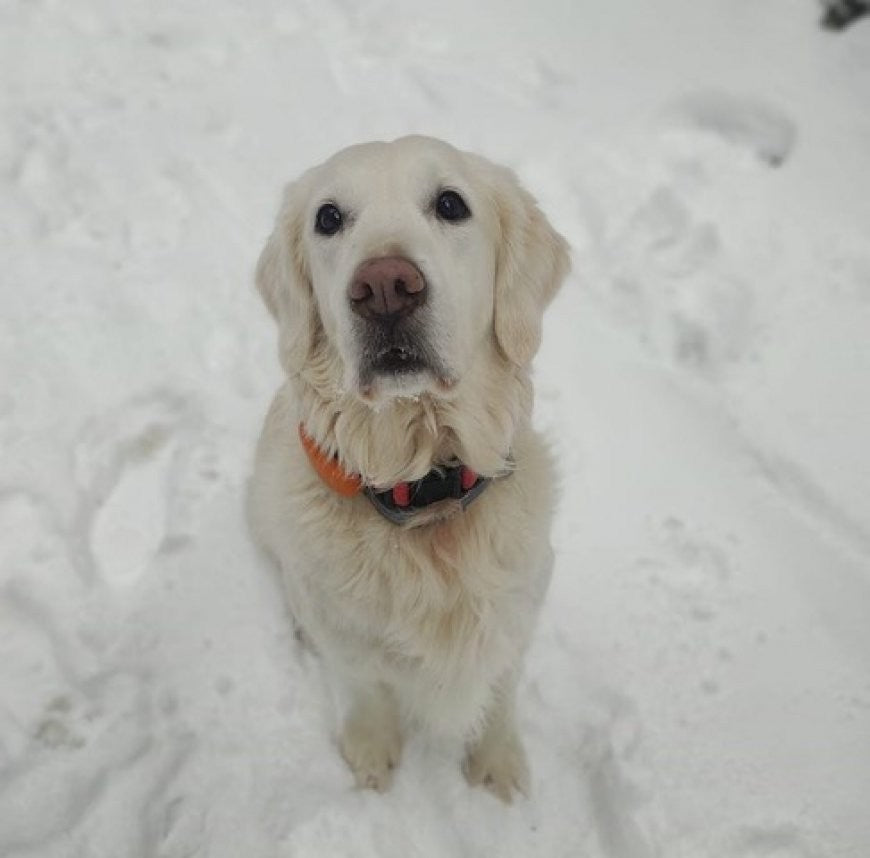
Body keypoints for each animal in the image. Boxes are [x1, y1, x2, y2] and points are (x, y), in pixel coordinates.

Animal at [247, 135, 572, 804]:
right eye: (328, 218)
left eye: (451, 204)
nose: (385, 287)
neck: (422, 484)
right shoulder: (344, 631)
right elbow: (363, 684)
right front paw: (371, 753)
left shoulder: (523, 600)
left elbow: (502, 684)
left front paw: (497, 763)